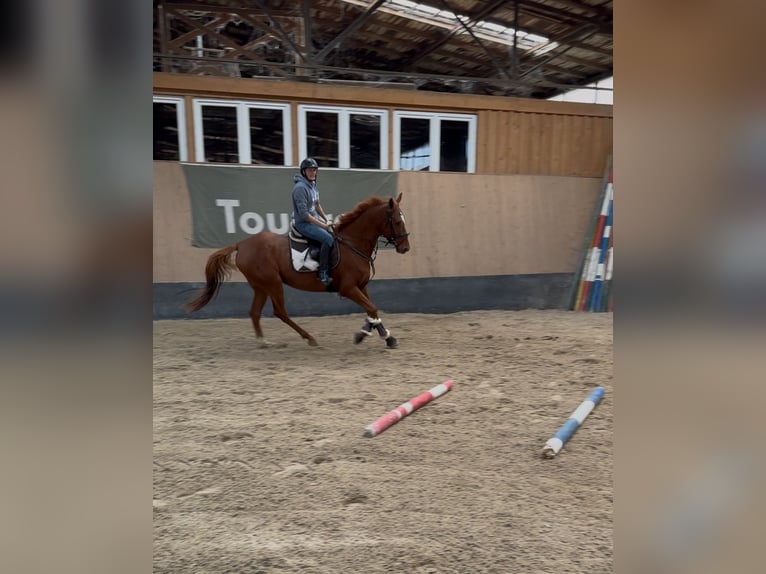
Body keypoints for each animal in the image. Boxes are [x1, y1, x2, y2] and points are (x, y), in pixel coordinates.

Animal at [185, 194, 412, 348]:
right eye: (397, 221)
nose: (405, 248)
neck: (352, 243)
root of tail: (241, 244)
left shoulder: (361, 286)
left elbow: (372, 309)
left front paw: (381, 335)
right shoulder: (348, 288)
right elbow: (372, 308)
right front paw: (370, 335)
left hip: (261, 286)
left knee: (255, 312)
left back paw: (263, 341)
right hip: (272, 283)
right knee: (280, 312)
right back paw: (309, 338)